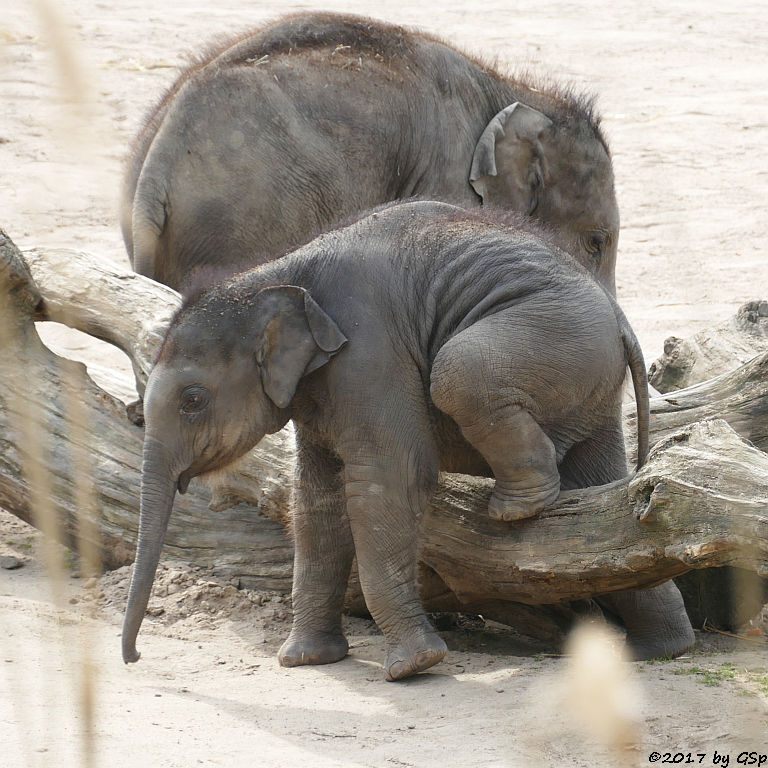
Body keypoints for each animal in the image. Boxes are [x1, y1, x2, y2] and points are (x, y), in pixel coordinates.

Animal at [121, 201, 660, 680]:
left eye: (192, 400)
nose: (134, 658)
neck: (272, 274)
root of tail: (621, 320)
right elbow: (316, 500)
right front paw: (305, 660)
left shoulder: (369, 352)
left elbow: (390, 481)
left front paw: (414, 667)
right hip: (587, 381)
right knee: (599, 485)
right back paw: (657, 649)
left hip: (555, 338)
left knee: (461, 371)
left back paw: (516, 508)